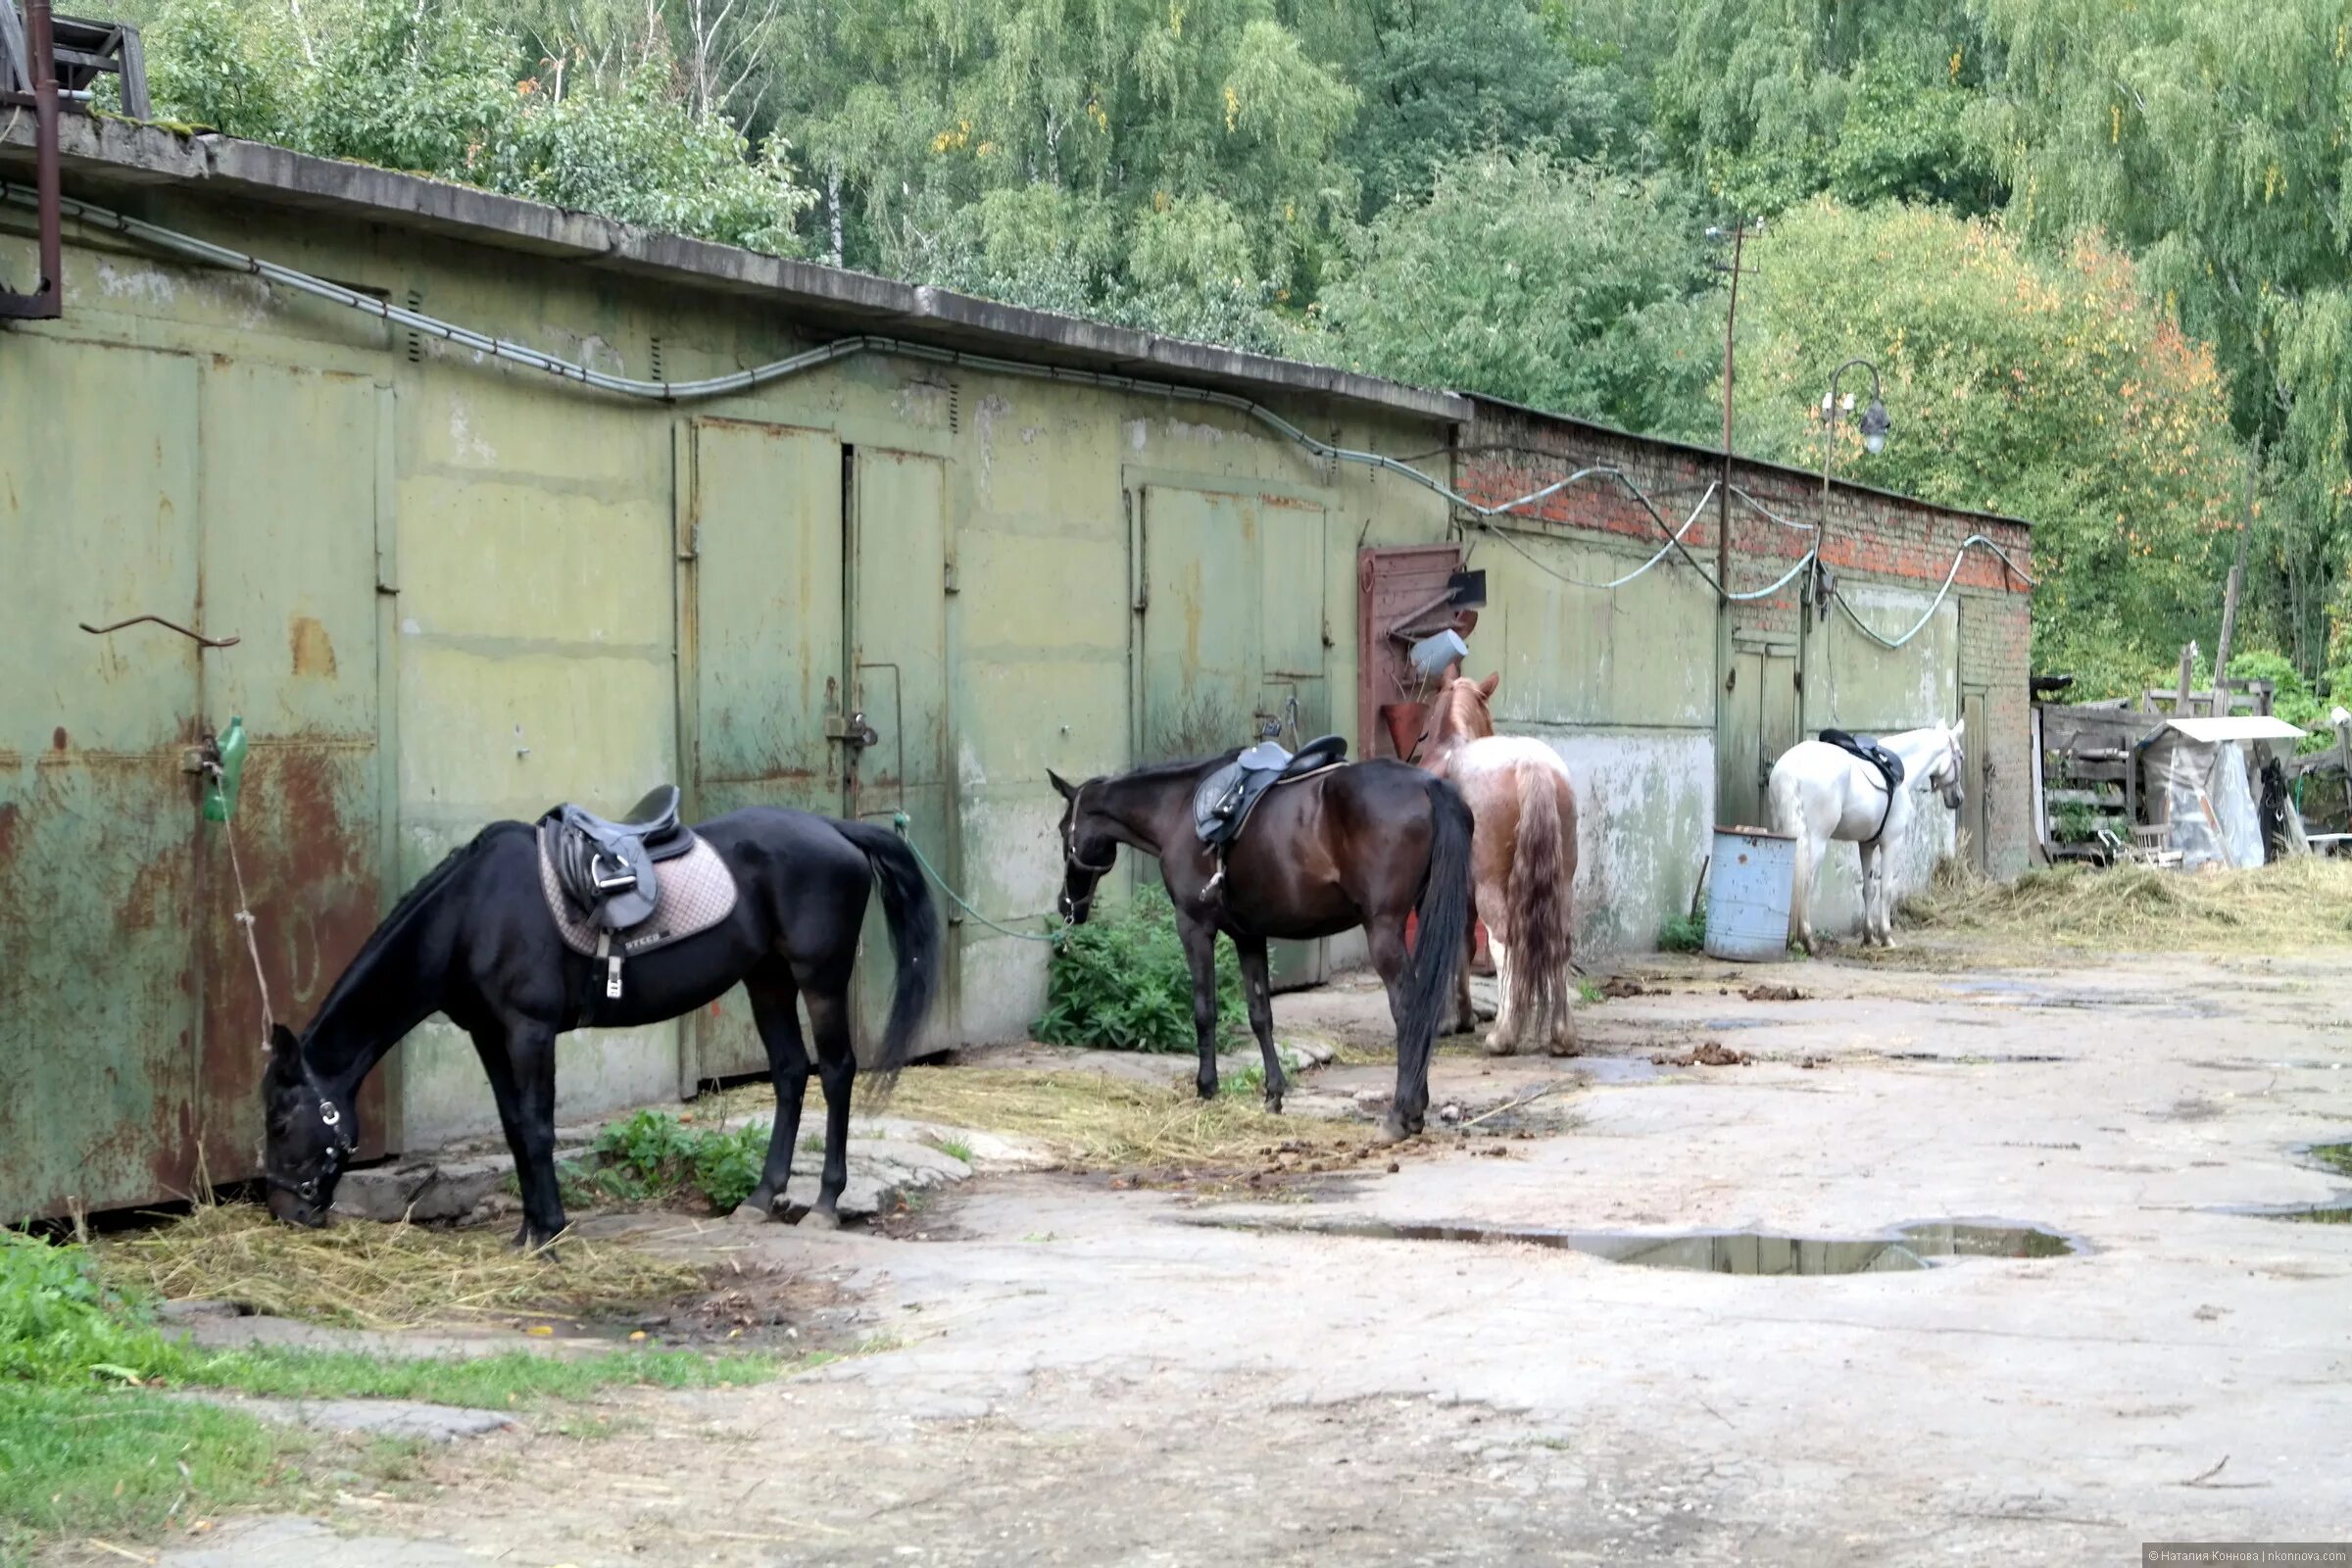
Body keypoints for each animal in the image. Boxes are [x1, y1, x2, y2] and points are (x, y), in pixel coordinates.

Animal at [265, 804, 936, 1241]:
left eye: (280, 1120)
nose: (284, 1210)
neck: (470, 915)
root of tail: (834, 829)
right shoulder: (490, 1036)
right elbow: (515, 1128)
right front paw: (528, 1231)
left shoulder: (530, 1031)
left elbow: (538, 1129)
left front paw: (550, 1234)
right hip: (766, 978)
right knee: (791, 1072)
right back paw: (760, 1198)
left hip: (818, 977)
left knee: (837, 1072)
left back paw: (824, 1202)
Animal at [1049, 757, 1467, 1142]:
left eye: (1062, 829)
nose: (1067, 906)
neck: (1178, 810)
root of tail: (1428, 784)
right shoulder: (1249, 936)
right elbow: (1260, 1014)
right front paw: (1273, 1094)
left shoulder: (1194, 927)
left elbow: (1205, 1010)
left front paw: (1207, 1088)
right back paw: (1416, 1108)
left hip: (1383, 930)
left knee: (1408, 1009)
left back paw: (1400, 1114)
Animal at [1411, 676, 1580, 1053]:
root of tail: (1530, 763)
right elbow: (1463, 944)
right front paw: (1461, 1017)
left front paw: (1447, 1019)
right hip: (1561, 884)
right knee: (1560, 944)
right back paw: (1562, 1036)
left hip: (1491, 888)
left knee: (1505, 944)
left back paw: (1502, 1035)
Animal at [1768, 723, 1966, 958]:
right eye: (1960, 756)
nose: (1958, 799)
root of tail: (1790, 769)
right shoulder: (1892, 842)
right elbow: (1886, 889)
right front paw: (1886, 937)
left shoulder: (1867, 845)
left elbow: (1868, 889)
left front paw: (1868, 936)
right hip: (1815, 841)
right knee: (1805, 882)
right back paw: (1808, 940)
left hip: (1787, 836)